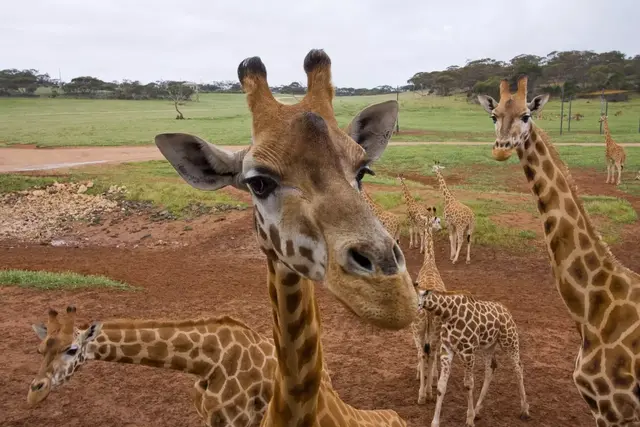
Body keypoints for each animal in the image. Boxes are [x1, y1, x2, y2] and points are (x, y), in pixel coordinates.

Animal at [26, 306, 404, 426]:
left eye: (73, 349)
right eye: (40, 348)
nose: (34, 393)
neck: (206, 361)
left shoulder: (235, 421)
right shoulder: (209, 418)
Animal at [416, 288, 528, 427]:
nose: (416, 310)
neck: (449, 314)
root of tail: (507, 312)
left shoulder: (468, 352)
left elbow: (468, 384)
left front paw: (469, 419)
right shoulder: (447, 350)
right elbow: (441, 386)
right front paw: (435, 422)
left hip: (509, 341)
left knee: (518, 368)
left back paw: (524, 410)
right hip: (489, 346)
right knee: (491, 368)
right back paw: (477, 410)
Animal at [478, 75, 640, 426]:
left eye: (527, 115)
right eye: (493, 115)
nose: (500, 149)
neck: (591, 314)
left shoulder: (616, 409)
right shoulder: (604, 409)